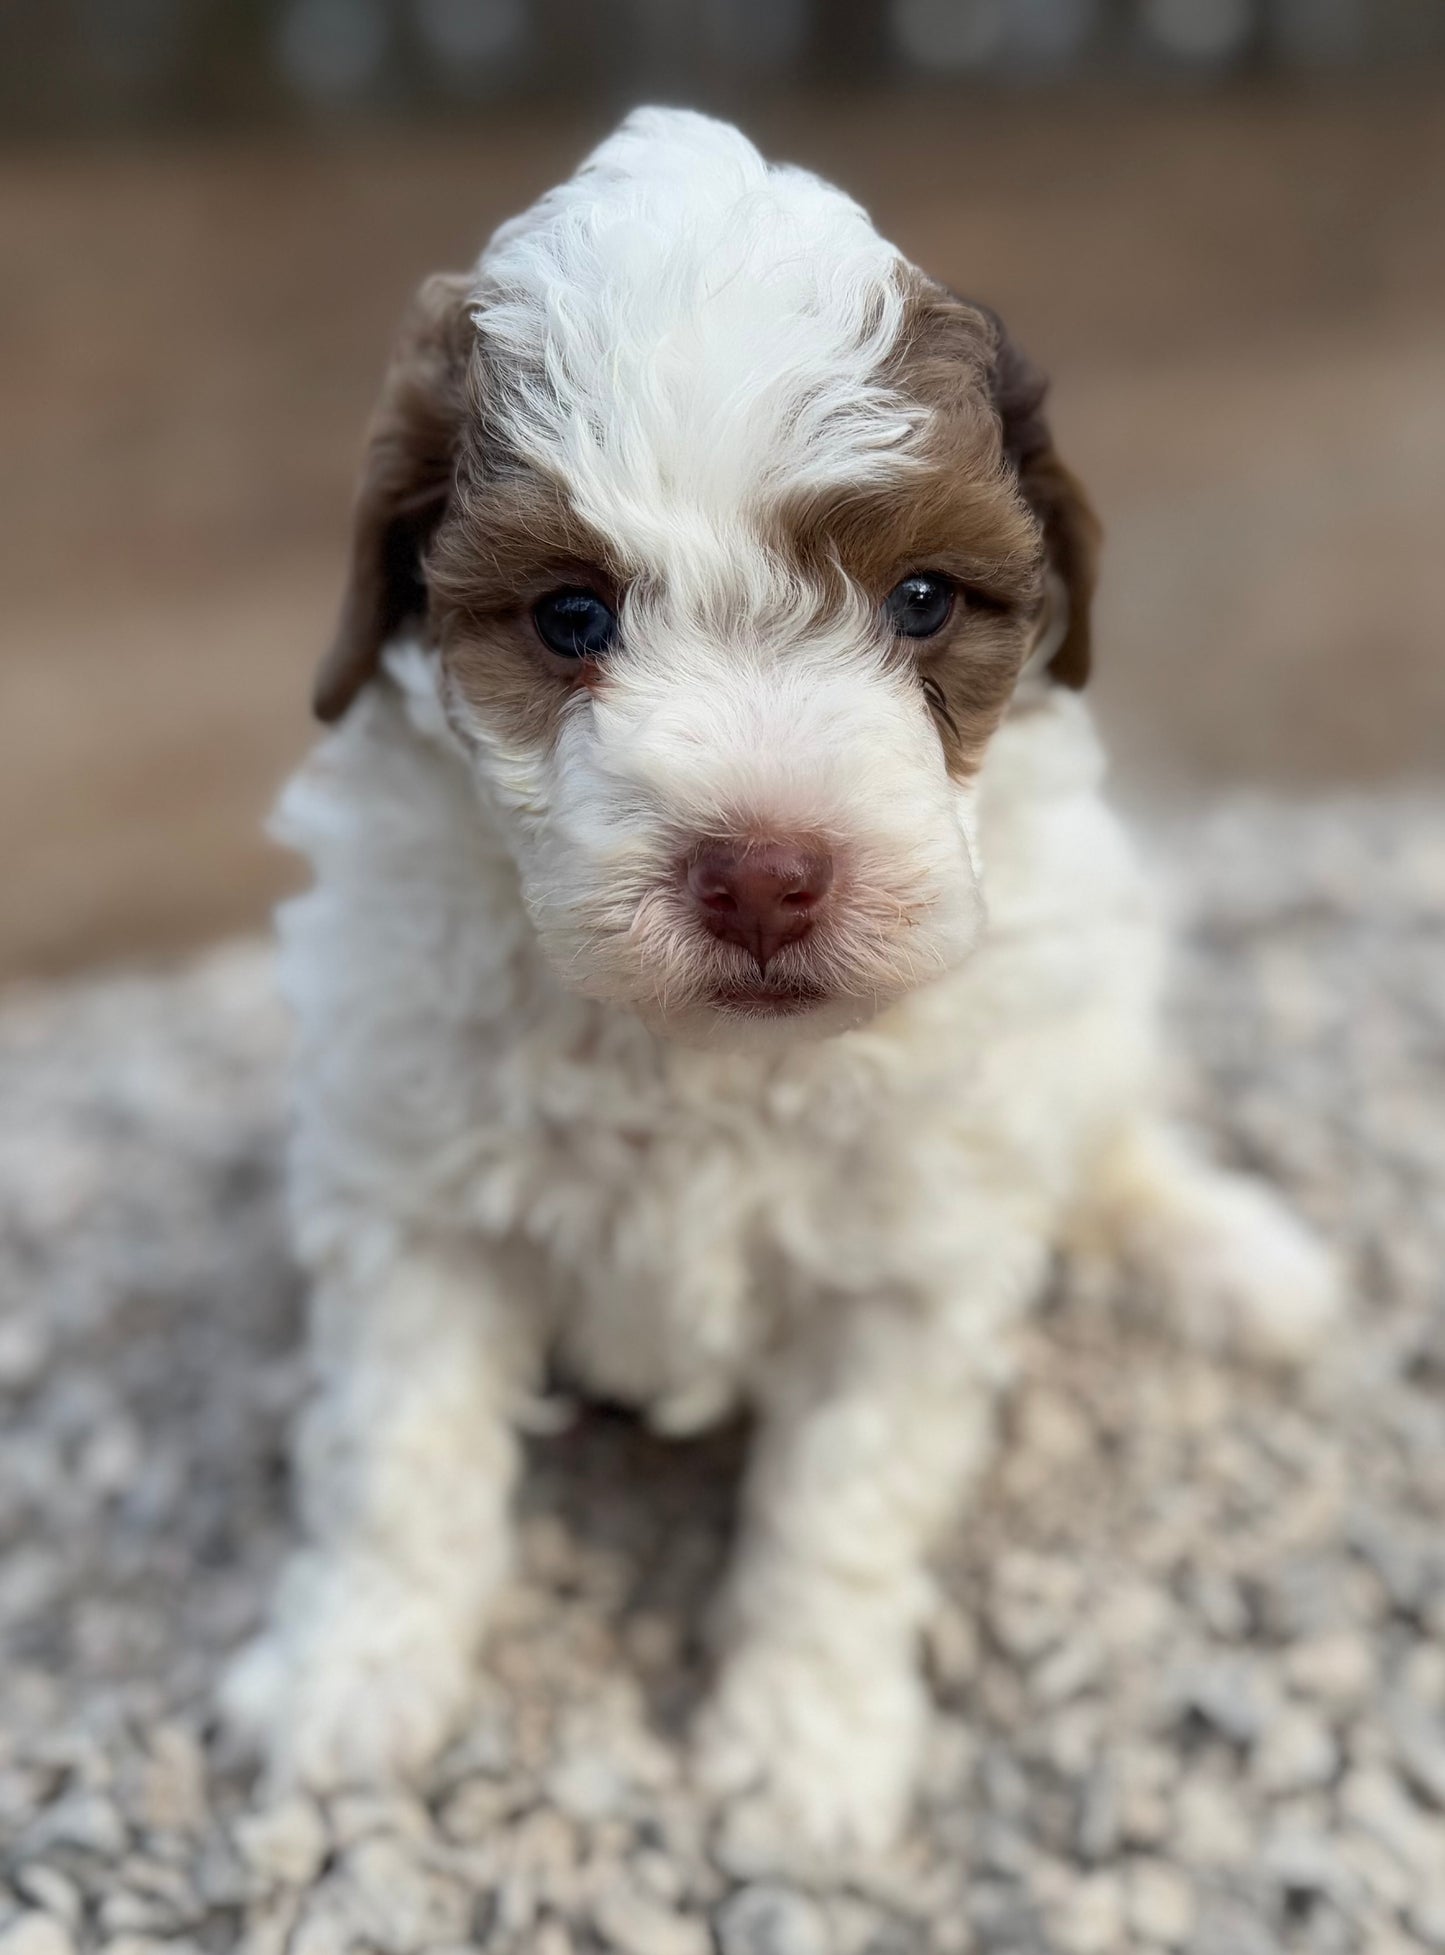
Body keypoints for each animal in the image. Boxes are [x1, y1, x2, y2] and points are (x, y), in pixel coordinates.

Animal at [228, 107, 1345, 1845]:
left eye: (921, 600)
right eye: (571, 616)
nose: (762, 871)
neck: (703, 1058)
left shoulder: (909, 1262)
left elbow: (841, 1504)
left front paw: (801, 1745)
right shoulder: (421, 1202)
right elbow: (398, 1452)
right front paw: (355, 1671)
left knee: (1104, 1134)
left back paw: (1232, 1255)